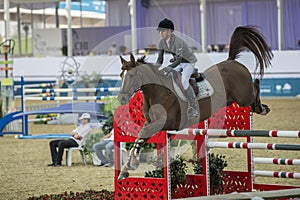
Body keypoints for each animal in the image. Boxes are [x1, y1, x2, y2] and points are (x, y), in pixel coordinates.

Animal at [117, 25, 274, 180]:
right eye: (121, 75)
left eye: (132, 75)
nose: (121, 99)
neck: (157, 91)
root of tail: (231, 60)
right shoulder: (151, 123)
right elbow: (140, 137)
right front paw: (126, 168)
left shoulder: (165, 122)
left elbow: (142, 134)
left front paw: (131, 164)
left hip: (243, 97)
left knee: (255, 87)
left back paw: (262, 107)